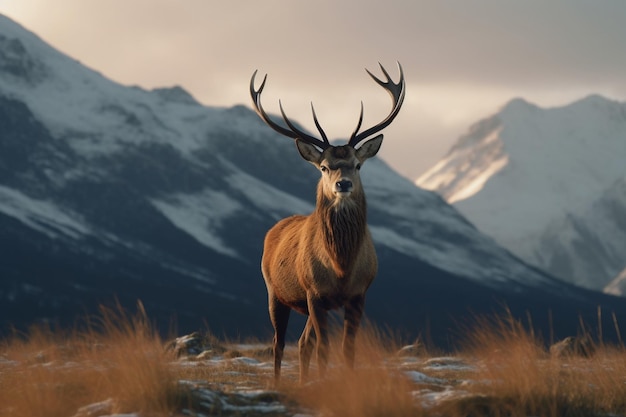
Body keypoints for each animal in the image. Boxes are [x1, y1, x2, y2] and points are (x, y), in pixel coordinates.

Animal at [249, 61, 404, 380]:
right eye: (323, 167)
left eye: (357, 165)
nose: (342, 184)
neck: (341, 267)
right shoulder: (315, 293)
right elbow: (323, 349)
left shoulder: (358, 295)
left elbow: (346, 350)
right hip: (275, 292)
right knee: (279, 342)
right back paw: (278, 381)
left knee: (302, 342)